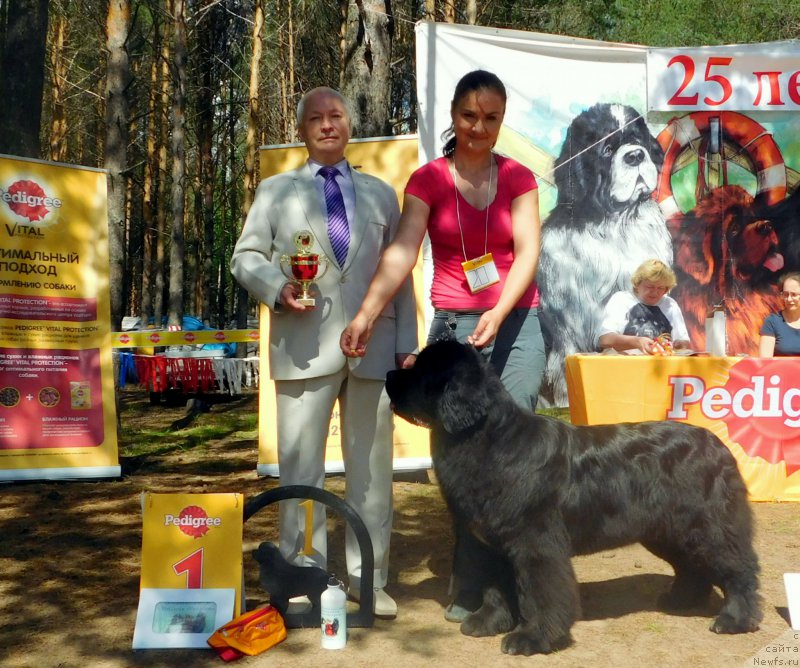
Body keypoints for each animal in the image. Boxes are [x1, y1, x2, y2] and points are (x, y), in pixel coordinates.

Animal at [388, 342, 764, 656]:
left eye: (421, 370)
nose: (390, 374)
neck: (488, 438)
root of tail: (716, 444)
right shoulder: (492, 542)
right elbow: (496, 587)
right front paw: (489, 622)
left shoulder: (536, 543)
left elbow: (541, 593)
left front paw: (533, 638)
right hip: (668, 531)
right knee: (691, 566)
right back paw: (680, 599)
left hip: (708, 527)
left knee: (739, 569)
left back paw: (735, 619)